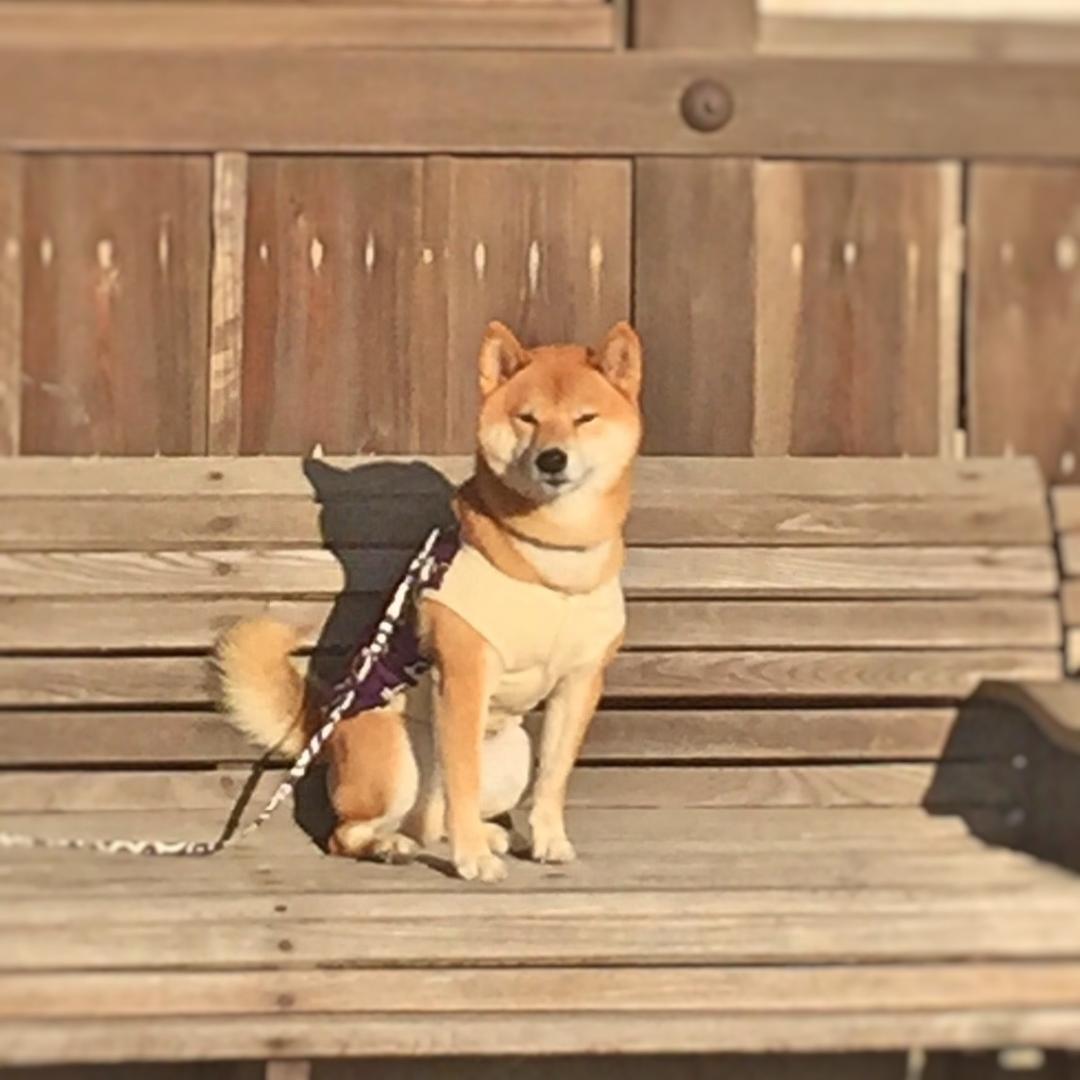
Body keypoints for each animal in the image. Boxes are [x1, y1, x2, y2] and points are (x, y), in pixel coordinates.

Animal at [216, 315, 643, 881]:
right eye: (528, 419)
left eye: (585, 418)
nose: (552, 459)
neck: (552, 560)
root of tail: (323, 732)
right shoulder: (464, 673)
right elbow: (461, 780)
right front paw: (472, 861)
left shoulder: (581, 681)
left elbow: (553, 779)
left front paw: (549, 840)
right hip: (395, 759)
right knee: (353, 831)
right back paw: (393, 846)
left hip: (513, 753)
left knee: (434, 819)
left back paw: (485, 835)